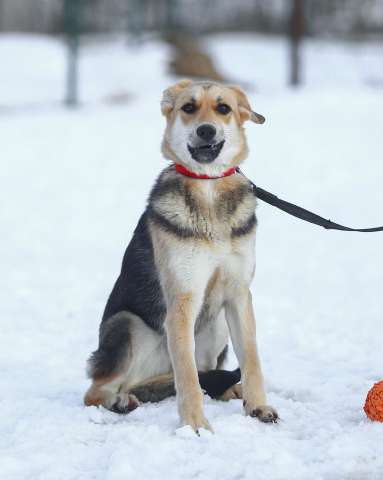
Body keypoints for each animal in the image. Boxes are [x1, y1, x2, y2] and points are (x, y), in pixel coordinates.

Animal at [85, 78, 280, 432]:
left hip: (217, 324)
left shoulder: (238, 294)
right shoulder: (183, 298)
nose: (206, 130)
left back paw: (231, 390)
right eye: (189, 107)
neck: (208, 187)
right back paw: (120, 401)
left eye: (223, 108)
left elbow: (251, 358)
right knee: (98, 391)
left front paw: (258, 405)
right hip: (129, 326)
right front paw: (195, 425)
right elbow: (187, 375)